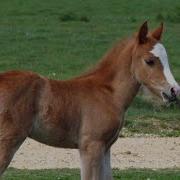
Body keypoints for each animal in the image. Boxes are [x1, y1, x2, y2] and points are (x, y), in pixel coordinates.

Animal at [0, 21, 180, 179]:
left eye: (166, 59)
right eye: (149, 61)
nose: (174, 91)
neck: (108, 93)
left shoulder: (105, 148)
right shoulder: (91, 146)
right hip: (8, 140)